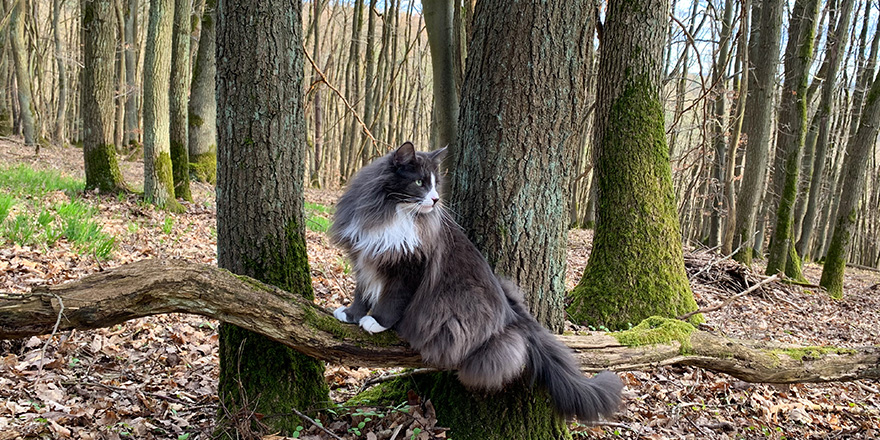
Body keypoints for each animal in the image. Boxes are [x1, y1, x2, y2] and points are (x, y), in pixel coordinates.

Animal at [326, 143, 624, 422]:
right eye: (420, 182)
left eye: (436, 184)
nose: (435, 199)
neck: (393, 213)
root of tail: (512, 314)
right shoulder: (365, 258)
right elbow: (361, 293)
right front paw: (351, 314)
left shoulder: (409, 269)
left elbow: (392, 299)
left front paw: (376, 321)